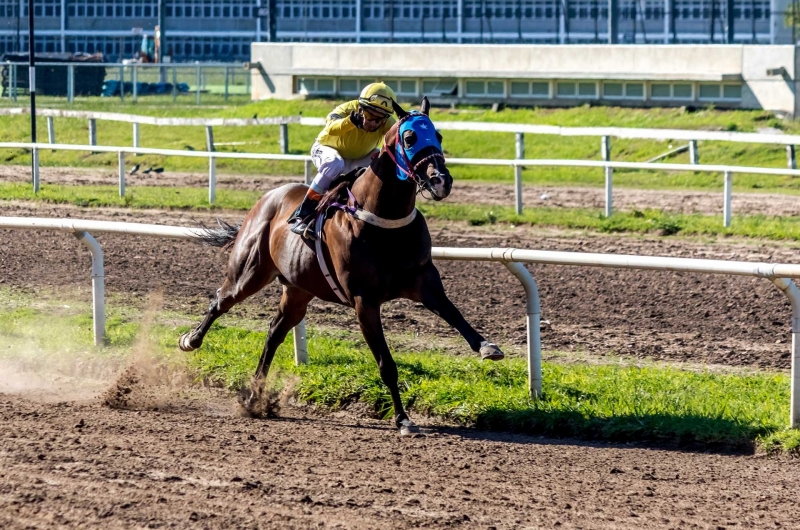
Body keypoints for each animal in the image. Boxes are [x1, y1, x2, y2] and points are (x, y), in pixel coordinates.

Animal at [184, 98, 504, 434]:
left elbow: (454, 313)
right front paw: (402, 418)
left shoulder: (423, 280)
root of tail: (269, 197)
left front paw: (487, 346)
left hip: (298, 290)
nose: (441, 180)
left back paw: (254, 397)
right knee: (221, 301)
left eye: (439, 136)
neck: (384, 220)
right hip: (249, 271)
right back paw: (191, 340)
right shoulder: (364, 299)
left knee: (274, 332)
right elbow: (386, 364)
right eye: (409, 138)